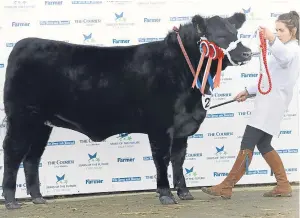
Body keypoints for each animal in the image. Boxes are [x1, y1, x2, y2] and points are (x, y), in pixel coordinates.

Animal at [1, 12, 251, 209]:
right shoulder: (161, 126)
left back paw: (37, 198)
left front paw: (184, 192)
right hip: (22, 117)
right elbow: (162, 159)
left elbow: (179, 160)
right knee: (13, 152)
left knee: (32, 157)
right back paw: (11, 201)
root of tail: (24, 44)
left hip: (42, 124)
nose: (248, 53)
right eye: (221, 36)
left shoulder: (182, 128)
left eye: (235, 33)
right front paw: (165, 194)